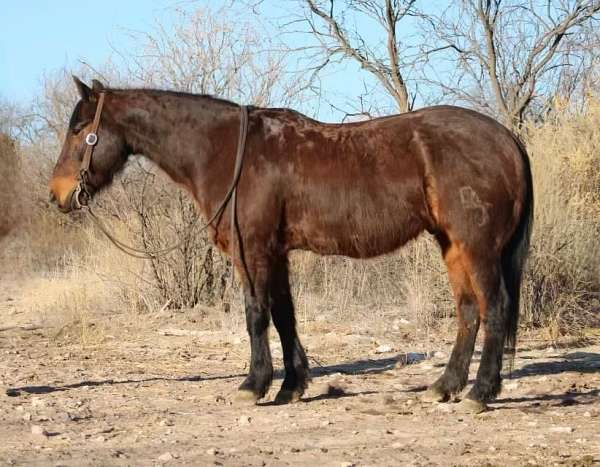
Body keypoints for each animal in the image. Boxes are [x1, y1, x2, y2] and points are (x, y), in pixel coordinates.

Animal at [49, 77, 532, 414]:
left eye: (79, 130)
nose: (57, 195)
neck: (228, 152)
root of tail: (506, 138)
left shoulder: (253, 251)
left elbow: (256, 315)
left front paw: (254, 385)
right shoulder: (276, 254)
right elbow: (284, 316)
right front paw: (291, 386)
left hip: (477, 248)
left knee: (494, 308)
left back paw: (480, 393)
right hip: (452, 245)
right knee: (469, 312)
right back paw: (445, 387)